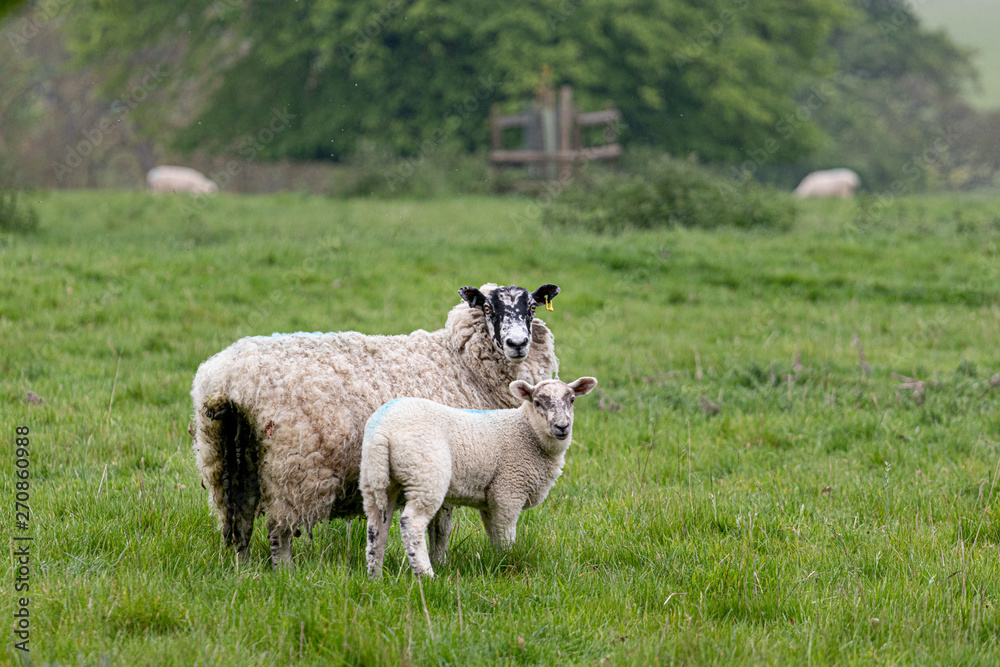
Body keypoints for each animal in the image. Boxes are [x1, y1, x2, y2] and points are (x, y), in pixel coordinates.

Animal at [191, 283, 561, 568]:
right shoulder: (450, 461)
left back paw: (243, 570)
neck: (460, 363)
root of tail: (230, 381)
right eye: (487, 308)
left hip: (227, 458)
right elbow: (441, 527)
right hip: (292, 470)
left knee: (239, 521)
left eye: (531, 307)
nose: (517, 344)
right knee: (278, 530)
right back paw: (285, 573)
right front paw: (440, 564)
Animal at [361, 376, 598, 579]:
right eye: (538, 402)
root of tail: (382, 430)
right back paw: (426, 575)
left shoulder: (491, 499)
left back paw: (375, 576)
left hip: (375, 477)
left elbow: (494, 533)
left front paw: (499, 560)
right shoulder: (508, 490)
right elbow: (506, 534)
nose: (562, 427)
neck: (527, 431)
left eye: (572, 400)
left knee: (376, 527)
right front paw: (509, 561)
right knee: (411, 523)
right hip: (425, 474)